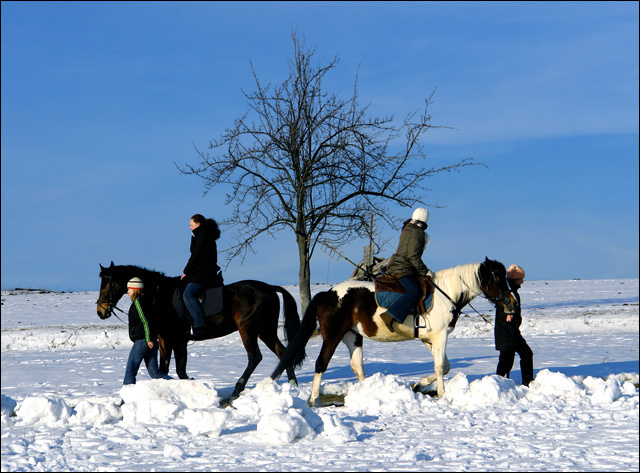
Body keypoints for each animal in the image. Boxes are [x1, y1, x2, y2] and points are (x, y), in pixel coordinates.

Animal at [96, 262, 304, 400]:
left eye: (106, 284)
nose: (100, 311)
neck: (159, 297)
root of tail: (270, 288)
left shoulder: (175, 340)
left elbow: (176, 370)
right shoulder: (169, 341)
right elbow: (170, 370)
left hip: (248, 328)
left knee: (255, 356)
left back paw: (237, 390)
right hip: (265, 330)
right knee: (283, 352)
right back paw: (292, 385)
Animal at [271, 257, 518, 406]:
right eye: (498, 278)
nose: (512, 303)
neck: (445, 293)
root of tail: (329, 294)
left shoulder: (429, 339)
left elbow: (444, 366)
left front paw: (418, 384)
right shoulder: (439, 336)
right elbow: (440, 367)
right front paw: (441, 394)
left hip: (353, 336)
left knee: (357, 366)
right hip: (333, 336)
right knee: (321, 363)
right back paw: (315, 399)